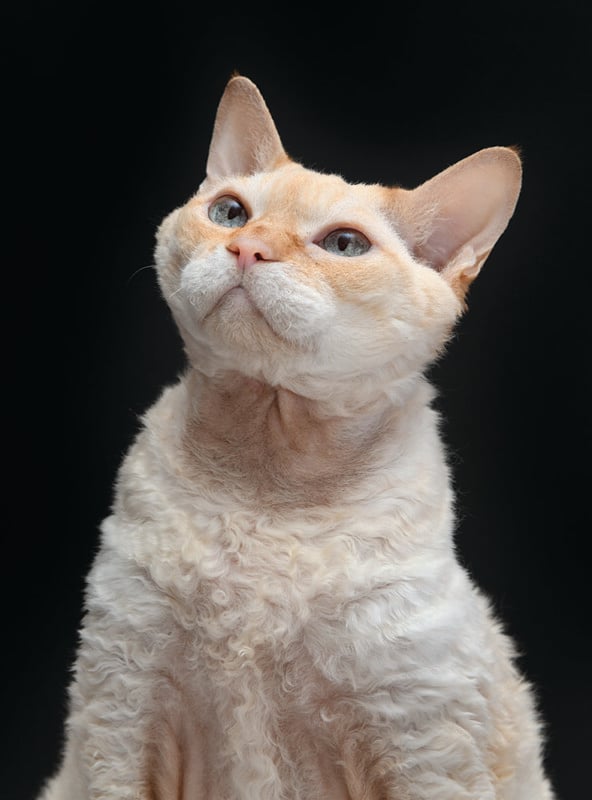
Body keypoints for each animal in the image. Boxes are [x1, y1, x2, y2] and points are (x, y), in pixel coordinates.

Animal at [37, 75, 556, 800]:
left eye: (344, 246)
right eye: (230, 212)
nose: (246, 248)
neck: (268, 475)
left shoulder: (420, 739)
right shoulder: (122, 706)